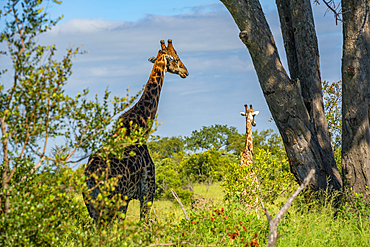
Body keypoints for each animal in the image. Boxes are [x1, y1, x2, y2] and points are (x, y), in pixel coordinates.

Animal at [83, 39, 188, 224]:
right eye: (176, 58)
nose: (186, 72)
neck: (143, 126)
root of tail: (92, 177)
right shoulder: (147, 190)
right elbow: (143, 223)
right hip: (114, 201)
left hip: (94, 207)